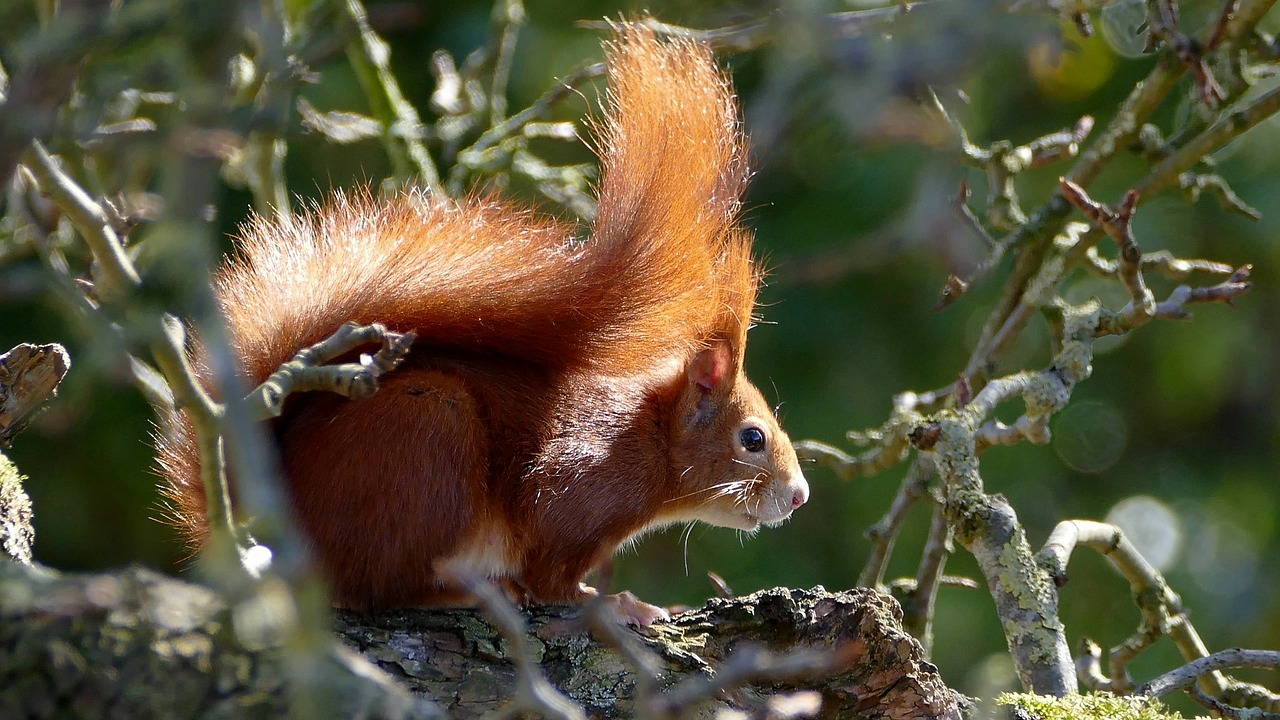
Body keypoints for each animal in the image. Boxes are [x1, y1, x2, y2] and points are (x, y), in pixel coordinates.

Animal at [152, 22, 808, 617]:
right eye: (752, 438)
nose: (799, 497)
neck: (646, 436)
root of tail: (283, 533)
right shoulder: (574, 488)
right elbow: (554, 579)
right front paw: (618, 605)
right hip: (429, 436)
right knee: (380, 588)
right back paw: (461, 593)